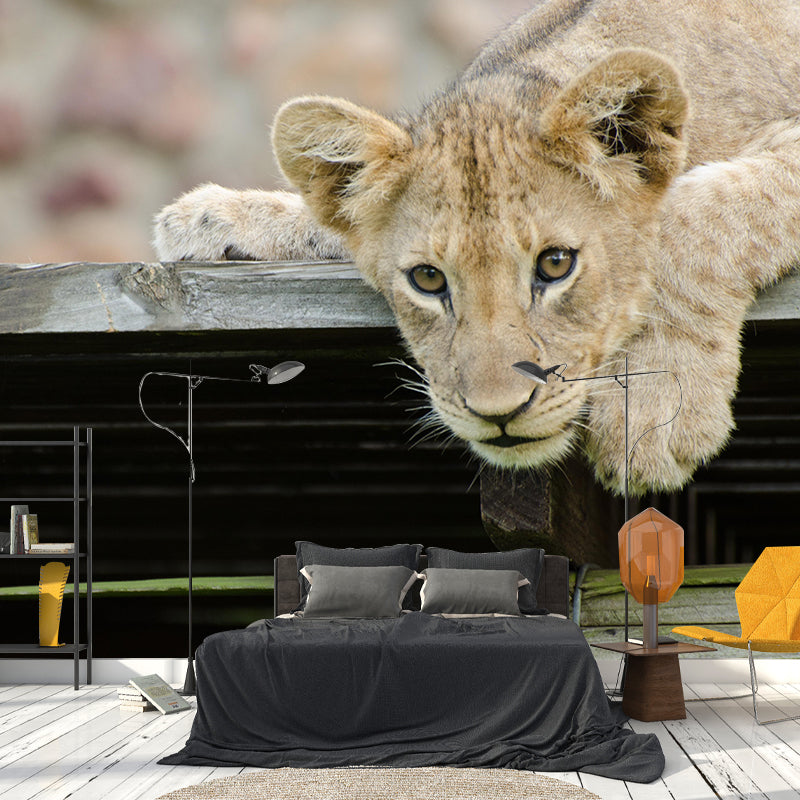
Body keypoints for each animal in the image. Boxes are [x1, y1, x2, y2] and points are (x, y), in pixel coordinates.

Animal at [153, 0, 800, 496]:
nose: (499, 415)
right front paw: (208, 218)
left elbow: (695, 215)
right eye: (428, 279)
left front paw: (654, 406)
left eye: (555, 265)